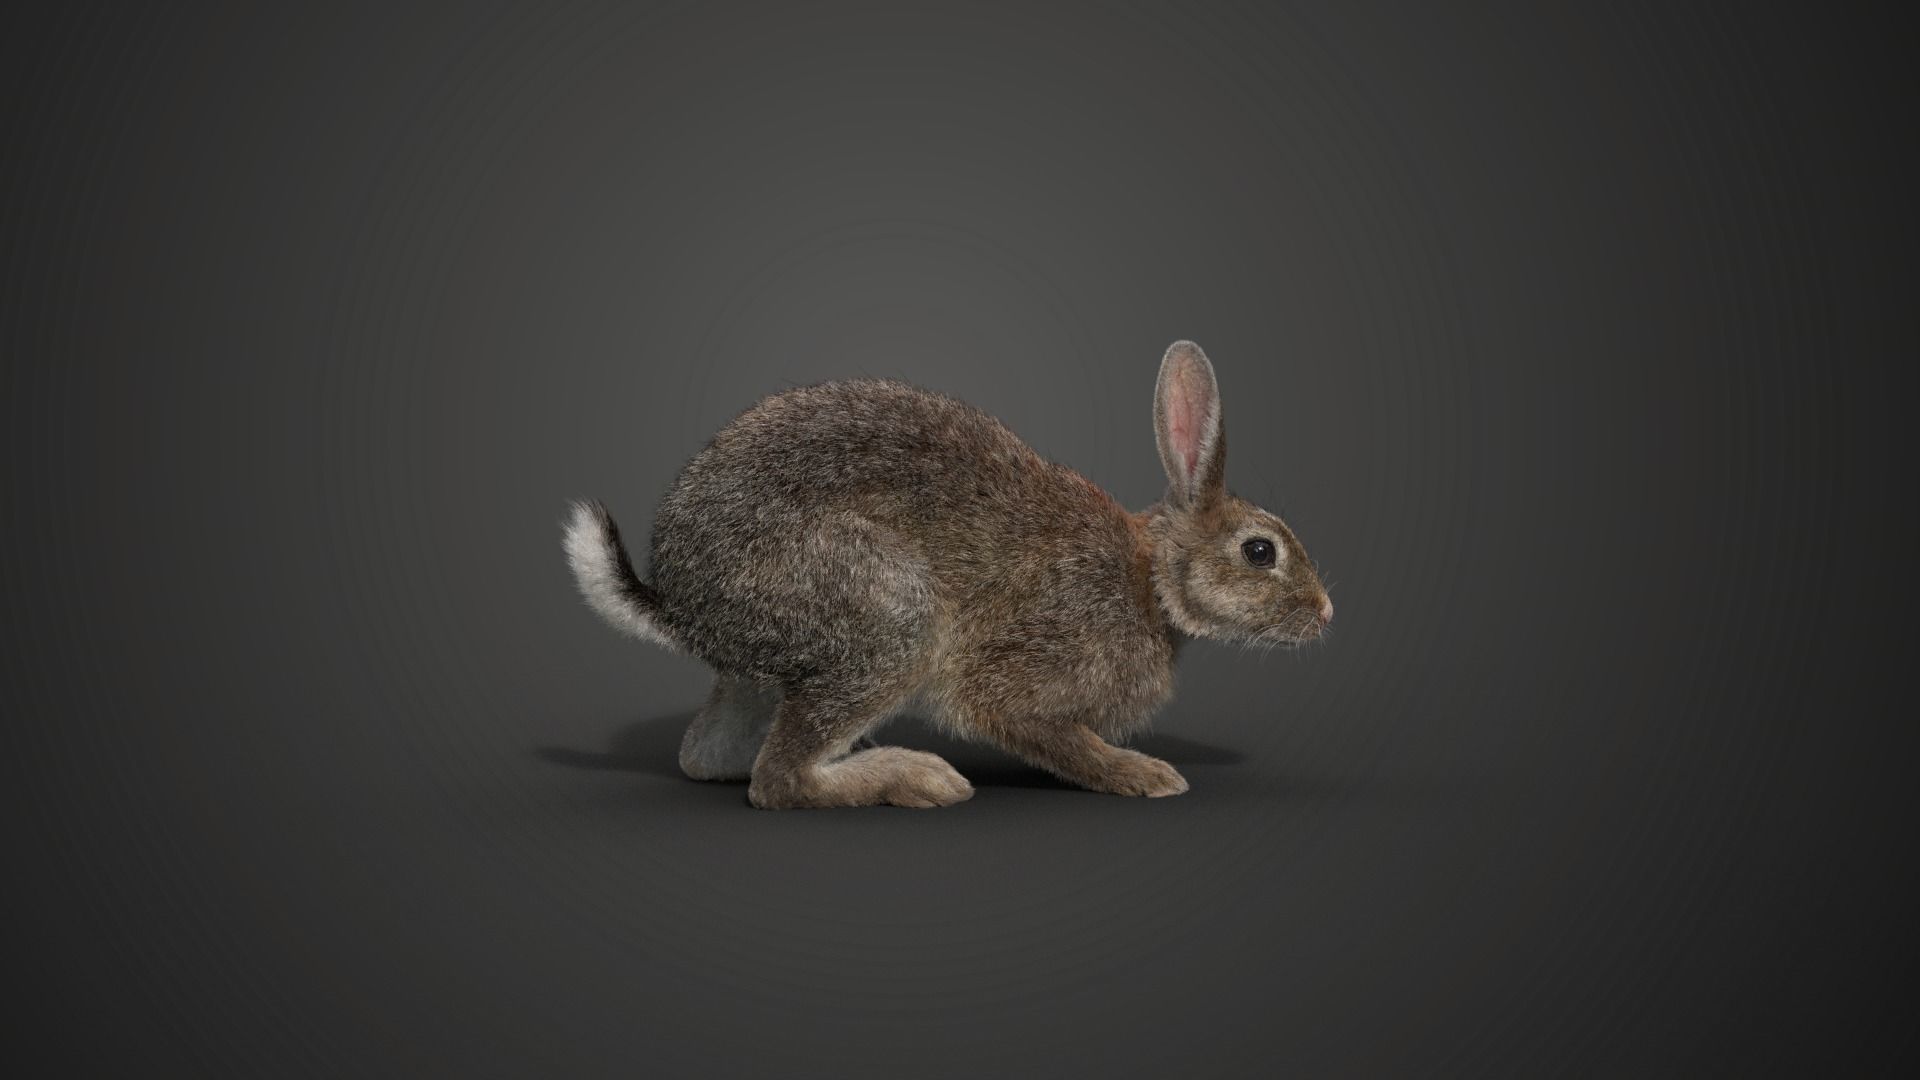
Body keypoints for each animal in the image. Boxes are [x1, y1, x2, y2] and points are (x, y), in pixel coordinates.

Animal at [563, 341, 1333, 809]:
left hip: (769, 664)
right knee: (778, 780)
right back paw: (920, 778)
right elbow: (1052, 735)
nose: (1327, 613)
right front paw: (1144, 775)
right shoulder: (1015, 683)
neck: (1151, 581)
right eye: (1260, 552)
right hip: (886, 617)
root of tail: (680, 599)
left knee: (709, 754)